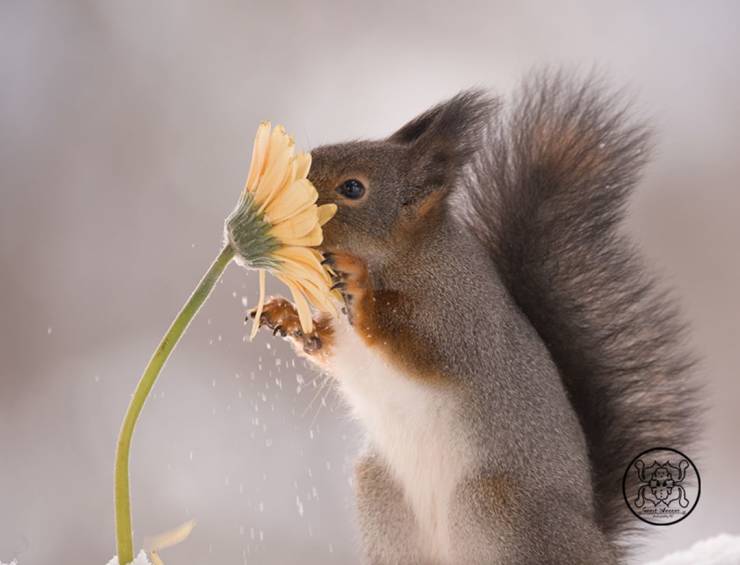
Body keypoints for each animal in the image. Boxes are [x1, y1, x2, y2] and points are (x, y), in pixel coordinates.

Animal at [249, 71, 700, 564]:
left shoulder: (463, 320)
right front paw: (285, 316)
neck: (405, 259)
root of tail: (598, 543)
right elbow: (327, 347)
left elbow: (426, 351)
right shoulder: (348, 344)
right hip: (382, 495)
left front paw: (360, 285)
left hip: (498, 507)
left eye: (353, 188)